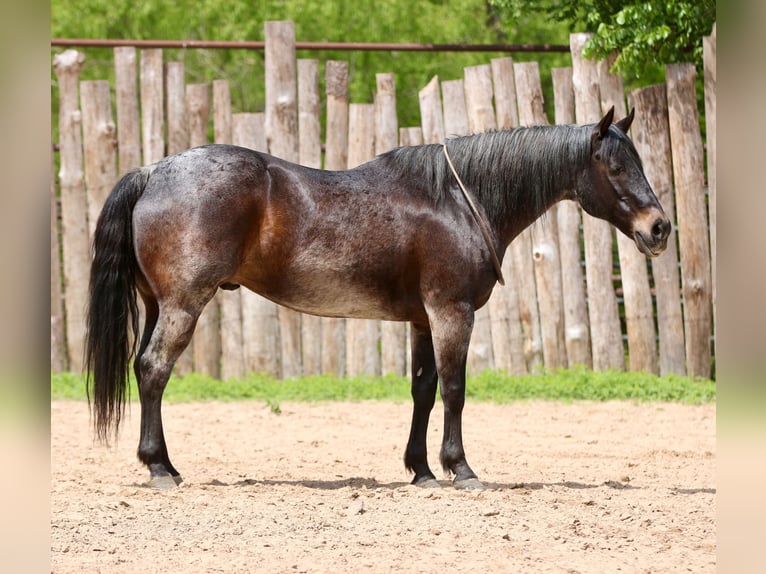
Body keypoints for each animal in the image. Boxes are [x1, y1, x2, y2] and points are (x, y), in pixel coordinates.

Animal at [85, 106, 671, 490]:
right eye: (616, 166)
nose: (659, 227)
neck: (455, 200)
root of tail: (153, 171)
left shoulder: (423, 319)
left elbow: (423, 391)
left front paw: (422, 470)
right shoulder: (451, 312)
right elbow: (455, 390)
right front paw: (460, 468)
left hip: (159, 305)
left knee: (144, 368)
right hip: (184, 304)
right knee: (154, 369)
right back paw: (159, 467)